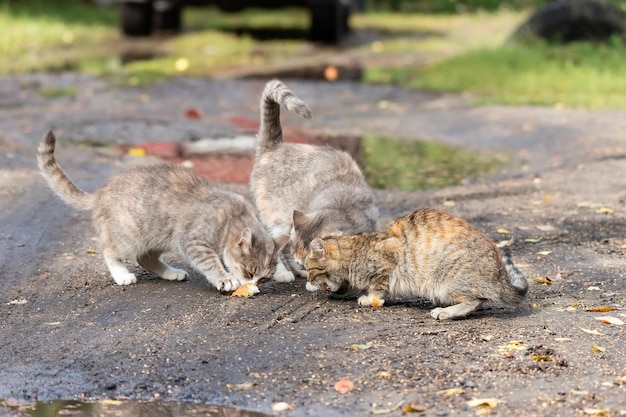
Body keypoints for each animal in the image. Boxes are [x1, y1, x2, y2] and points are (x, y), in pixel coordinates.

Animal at [40, 132, 288, 290]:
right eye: (249, 273)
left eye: (263, 279)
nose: (254, 286)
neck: (231, 218)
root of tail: (101, 192)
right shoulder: (193, 240)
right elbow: (210, 262)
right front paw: (224, 278)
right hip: (130, 235)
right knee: (110, 250)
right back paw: (121, 275)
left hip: (160, 235)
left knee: (145, 257)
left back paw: (171, 273)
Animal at [249, 79, 376, 282]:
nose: (303, 265)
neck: (342, 207)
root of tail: (275, 145)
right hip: (278, 220)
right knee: (276, 247)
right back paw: (284, 273)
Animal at [304, 208, 524, 318]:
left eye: (309, 269)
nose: (307, 280)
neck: (353, 253)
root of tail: (500, 278)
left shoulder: (389, 258)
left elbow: (376, 287)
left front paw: (369, 298)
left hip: (448, 279)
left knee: (477, 299)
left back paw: (446, 312)